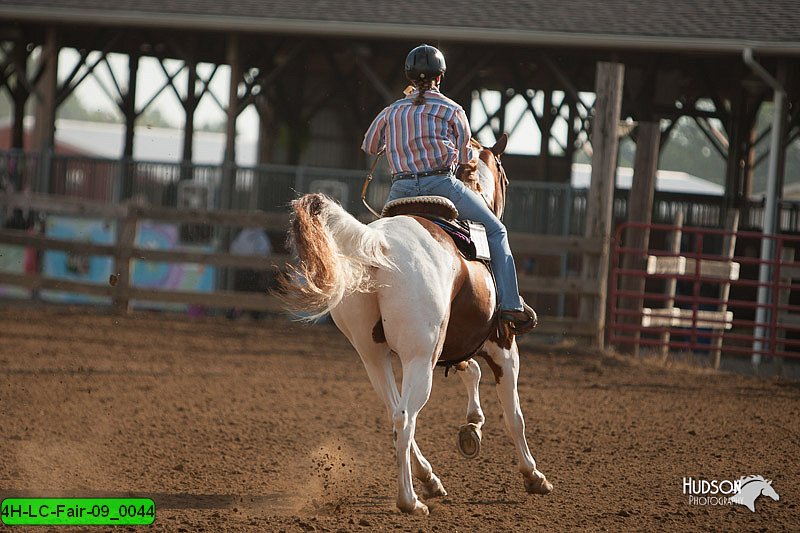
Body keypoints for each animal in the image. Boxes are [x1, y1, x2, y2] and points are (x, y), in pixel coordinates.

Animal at [284, 134, 552, 516]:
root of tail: (379, 244)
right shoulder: (503, 347)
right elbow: (514, 415)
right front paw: (533, 475)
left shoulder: (457, 343)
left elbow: (471, 372)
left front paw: (472, 427)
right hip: (420, 357)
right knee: (404, 417)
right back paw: (409, 500)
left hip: (373, 357)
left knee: (394, 414)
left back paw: (429, 481)